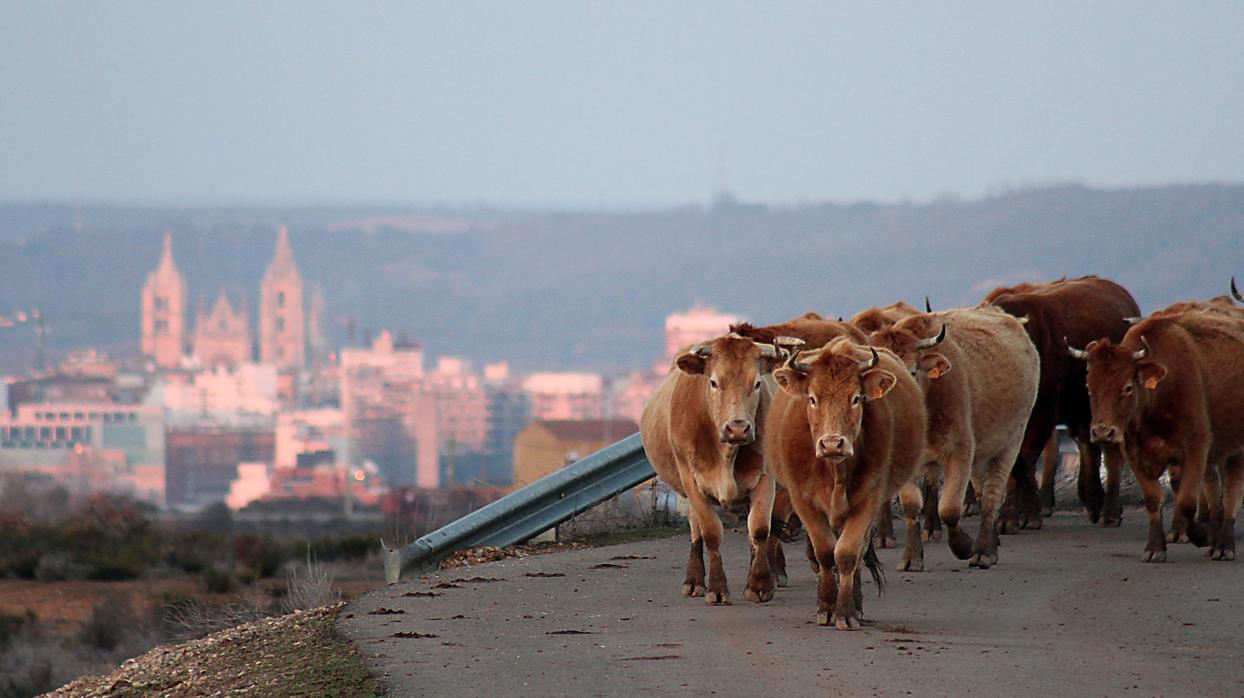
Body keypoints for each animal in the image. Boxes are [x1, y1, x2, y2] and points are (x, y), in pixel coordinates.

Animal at [646, 335, 781, 602]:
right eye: (714, 382)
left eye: (757, 383)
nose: (738, 428)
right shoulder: (692, 481)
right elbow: (710, 533)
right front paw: (717, 588)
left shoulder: (765, 478)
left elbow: (759, 529)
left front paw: (759, 584)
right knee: (695, 530)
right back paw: (694, 581)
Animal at [761, 335, 930, 629]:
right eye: (812, 398)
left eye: (856, 398)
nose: (832, 443)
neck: (835, 471)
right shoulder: (803, 500)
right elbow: (825, 552)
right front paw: (826, 607)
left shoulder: (869, 500)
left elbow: (848, 554)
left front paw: (846, 612)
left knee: (860, 553)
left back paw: (858, 605)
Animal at [865, 304, 1039, 567]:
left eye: (912, 372)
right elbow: (911, 507)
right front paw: (912, 557)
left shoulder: (961, 451)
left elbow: (949, 509)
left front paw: (964, 546)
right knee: (982, 492)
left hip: (1010, 443)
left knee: (992, 496)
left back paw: (984, 551)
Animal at [985, 274, 1139, 525]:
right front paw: (1014, 515)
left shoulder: (1045, 413)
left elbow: (1025, 459)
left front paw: (1027, 514)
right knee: (1088, 446)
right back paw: (1093, 501)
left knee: (1110, 454)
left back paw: (1109, 511)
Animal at [1069, 308, 1244, 559]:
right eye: (1089, 387)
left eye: (1127, 387)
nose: (1103, 432)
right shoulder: (1135, 454)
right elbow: (1153, 500)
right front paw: (1154, 549)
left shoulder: (1196, 447)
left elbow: (1187, 501)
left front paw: (1200, 535)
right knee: (1213, 491)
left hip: (1235, 452)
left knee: (1231, 495)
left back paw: (1223, 546)